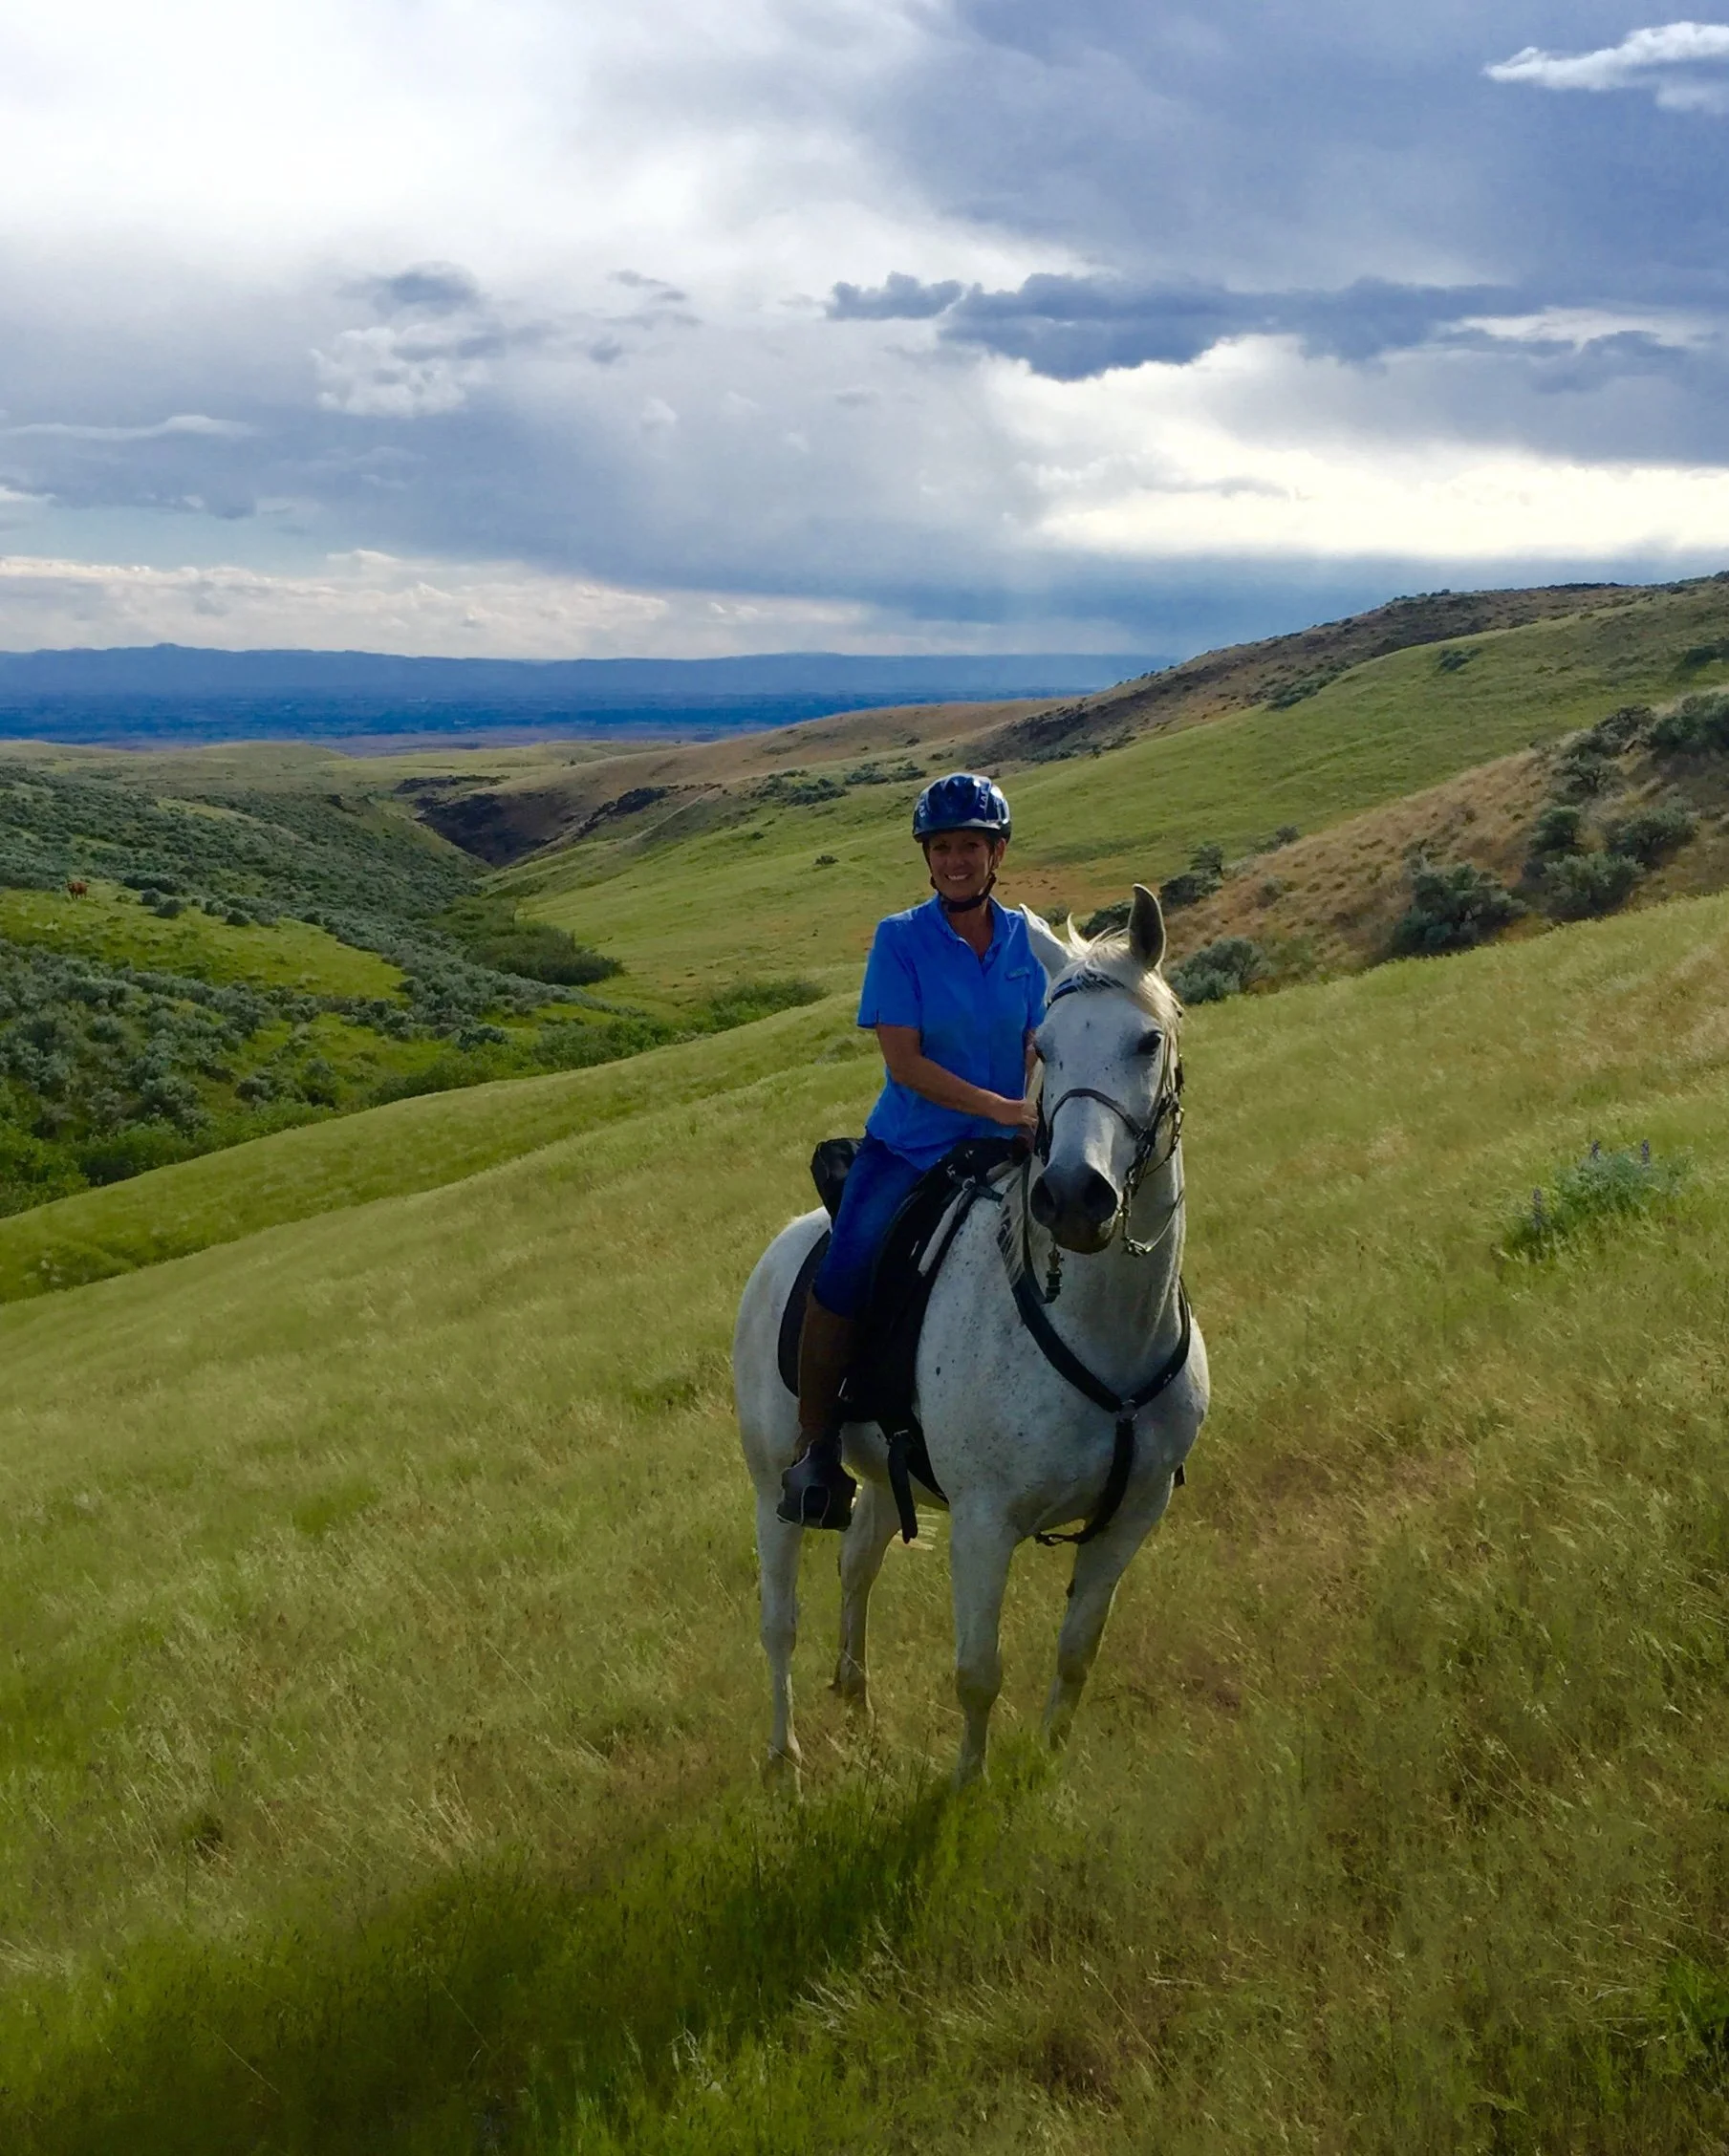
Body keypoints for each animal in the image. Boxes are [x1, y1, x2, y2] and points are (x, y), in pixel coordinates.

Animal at [733, 884, 1209, 1786]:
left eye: (1146, 1040)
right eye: (1044, 1048)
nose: (1074, 1197)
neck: (1104, 1336)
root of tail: (783, 1244)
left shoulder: (1133, 1516)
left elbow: (1076, 1653)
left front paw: (1048, 1762)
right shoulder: (985, 1526)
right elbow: (977, 1674)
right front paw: (966, 1787)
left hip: (883, 1481)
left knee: (857, 1565)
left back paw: (859, 1704)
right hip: (773, 1481)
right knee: (777, 1621)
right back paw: (783, 1753)